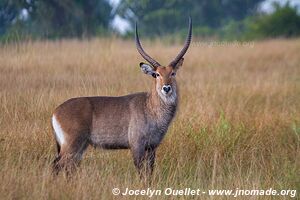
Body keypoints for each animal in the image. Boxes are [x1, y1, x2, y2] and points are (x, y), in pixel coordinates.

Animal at [51, 17, 192, 177]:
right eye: (156, 74)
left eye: (173, 73)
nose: (166, 88)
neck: (150, 107)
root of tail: (56, 111)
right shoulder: (137, 145)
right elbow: (141, 171)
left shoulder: (152, 147)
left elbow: (149, 172)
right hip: (72, 145)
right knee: (57, 165)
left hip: (79, 147)